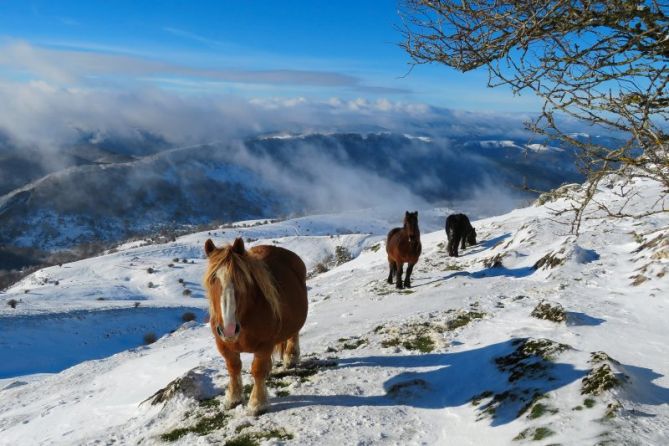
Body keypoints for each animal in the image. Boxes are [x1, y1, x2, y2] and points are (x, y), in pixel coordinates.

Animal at [204, 237, 308, 414]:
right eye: (212, 280)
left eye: (241, 279)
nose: (229, 330)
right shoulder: (223, 345)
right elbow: (233, 367)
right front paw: (233, 398)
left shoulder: (264, 345)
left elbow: (257, 370)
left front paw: (256, 404)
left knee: (293, 334)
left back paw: (291, 357)